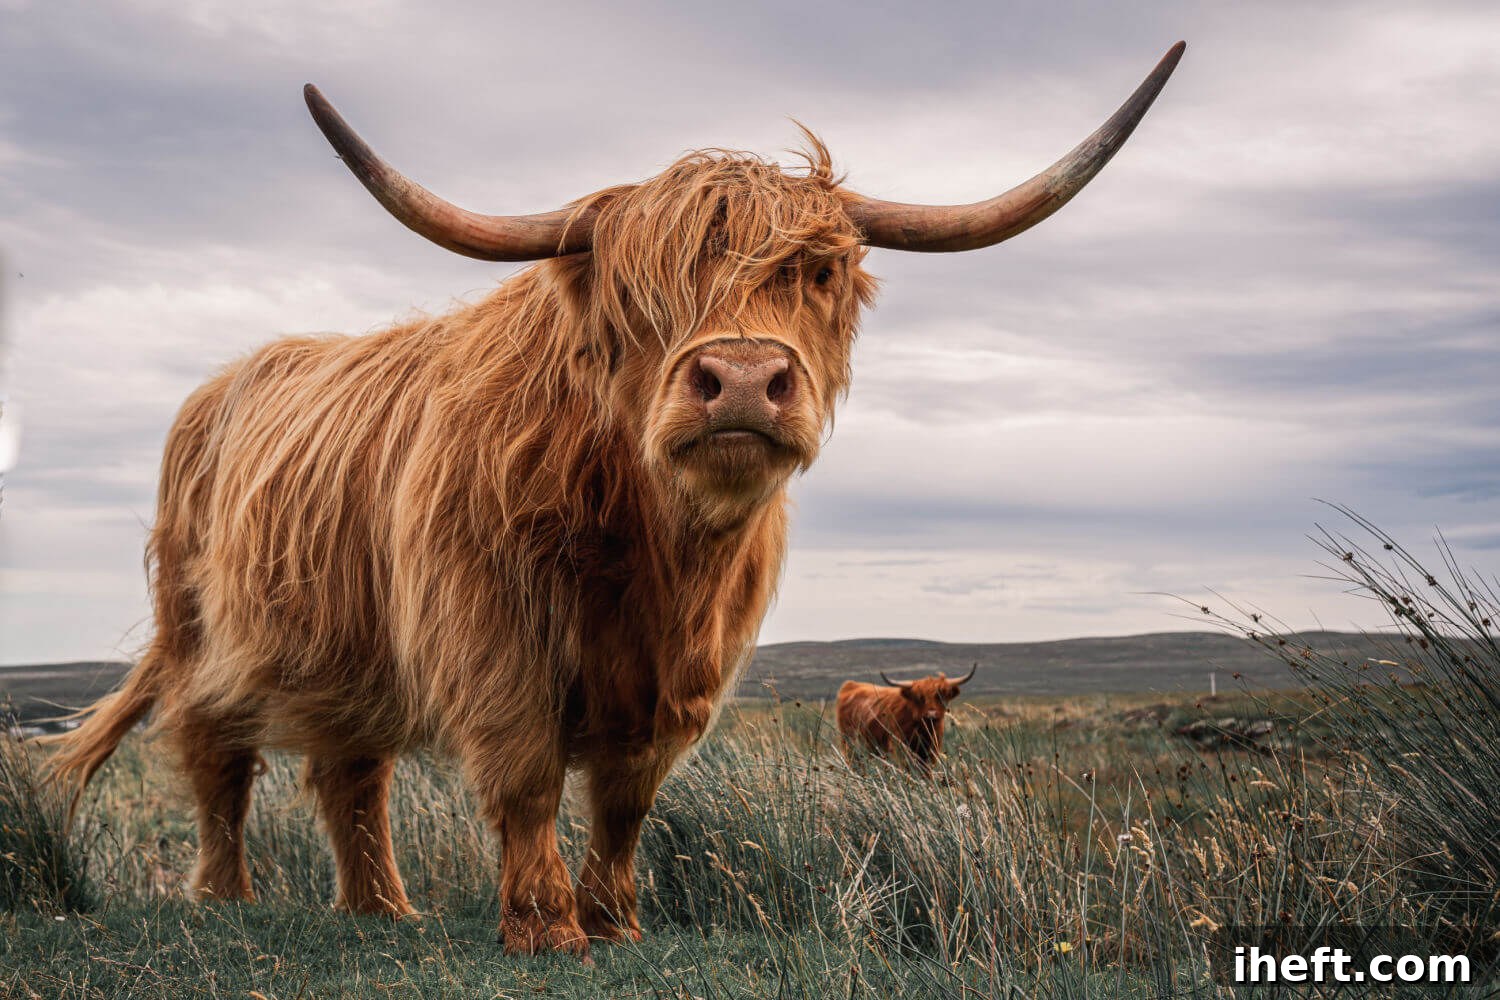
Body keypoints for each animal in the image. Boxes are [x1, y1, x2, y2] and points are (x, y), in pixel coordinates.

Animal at [836, 664, 977, 769]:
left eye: (940, 696)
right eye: (920, 698)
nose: (931, 714)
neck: (922, 731)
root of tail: (851, 685)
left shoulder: (931, 752)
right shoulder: (900, 749)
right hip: (849, 742)